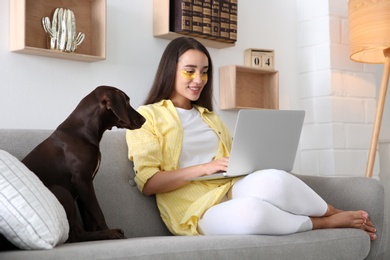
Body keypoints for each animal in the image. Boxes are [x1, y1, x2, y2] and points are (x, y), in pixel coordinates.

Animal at [20, 86, 145, 243]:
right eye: (127, 102)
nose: (144, 119)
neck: (82, 131)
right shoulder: (83, 181)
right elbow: (97, 213)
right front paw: (109, 232)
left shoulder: (83, 188)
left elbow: (89, 218)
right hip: (59, 190)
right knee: (76, 235)